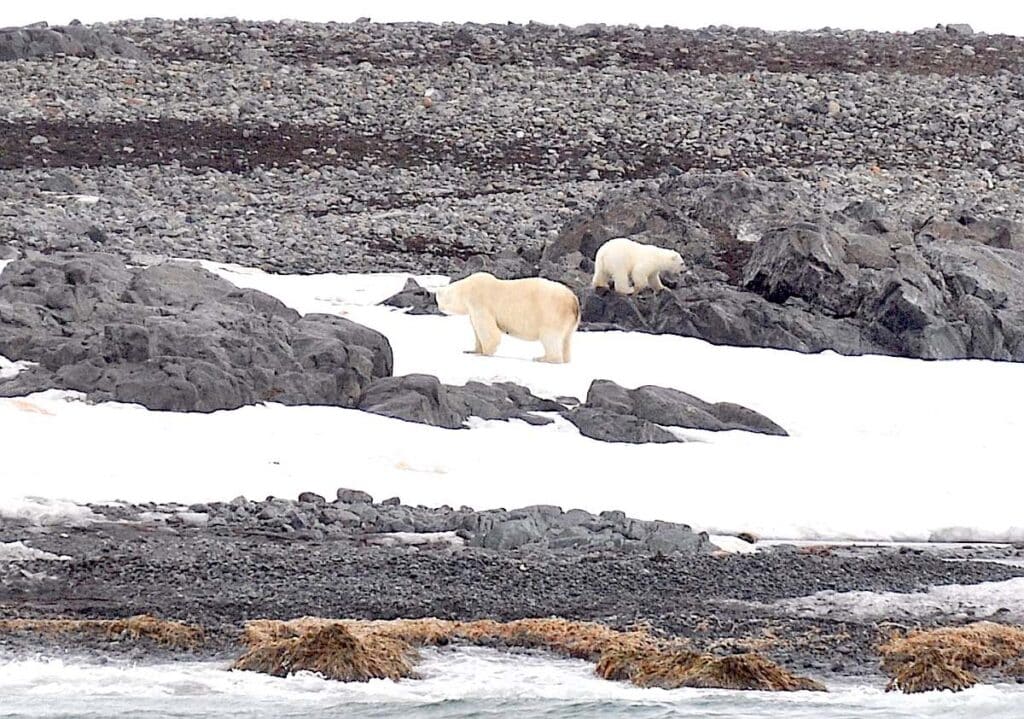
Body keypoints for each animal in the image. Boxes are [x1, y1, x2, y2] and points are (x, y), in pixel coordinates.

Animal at [434, 272, 580, 363]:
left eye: (439, 300)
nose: (440, 309)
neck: (467, 288)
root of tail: (573, 300)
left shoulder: (479, 302)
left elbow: (487, 330)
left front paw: (484, 353)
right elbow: (476, 331)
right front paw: (471, 350)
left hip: (550, 314)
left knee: (550, 337)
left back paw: (543, 358)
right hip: (569, 322)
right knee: (566, 340)